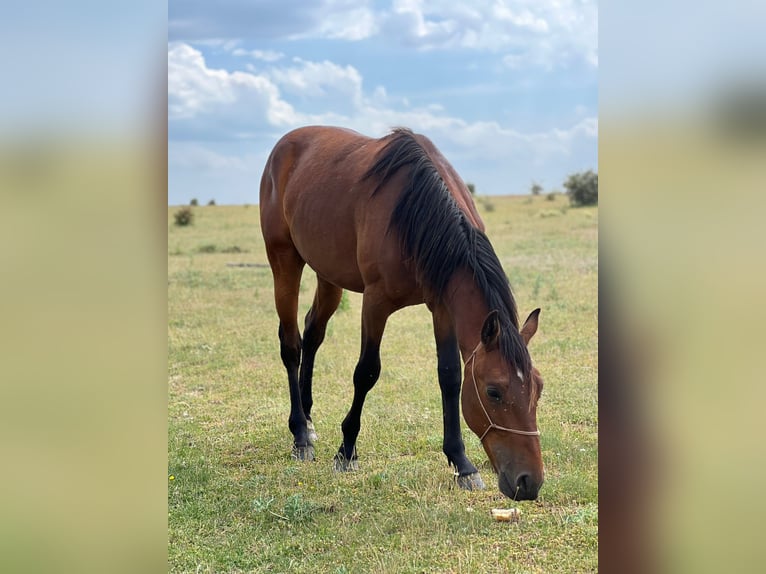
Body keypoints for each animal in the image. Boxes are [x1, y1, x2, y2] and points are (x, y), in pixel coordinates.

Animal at [262, 126, 544, 500]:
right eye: (493, 392)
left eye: (538, 389)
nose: (529, 482)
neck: (417, 215)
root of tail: (285, 143)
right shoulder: (375, 302)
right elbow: (366, 372)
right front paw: (346, 450)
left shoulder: (442, 306)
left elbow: (450, 377)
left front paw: (462, 463)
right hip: (285, 261)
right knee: (291, 344)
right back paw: (299, 434)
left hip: (328, 274)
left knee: (313, 333)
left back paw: (308, 422)